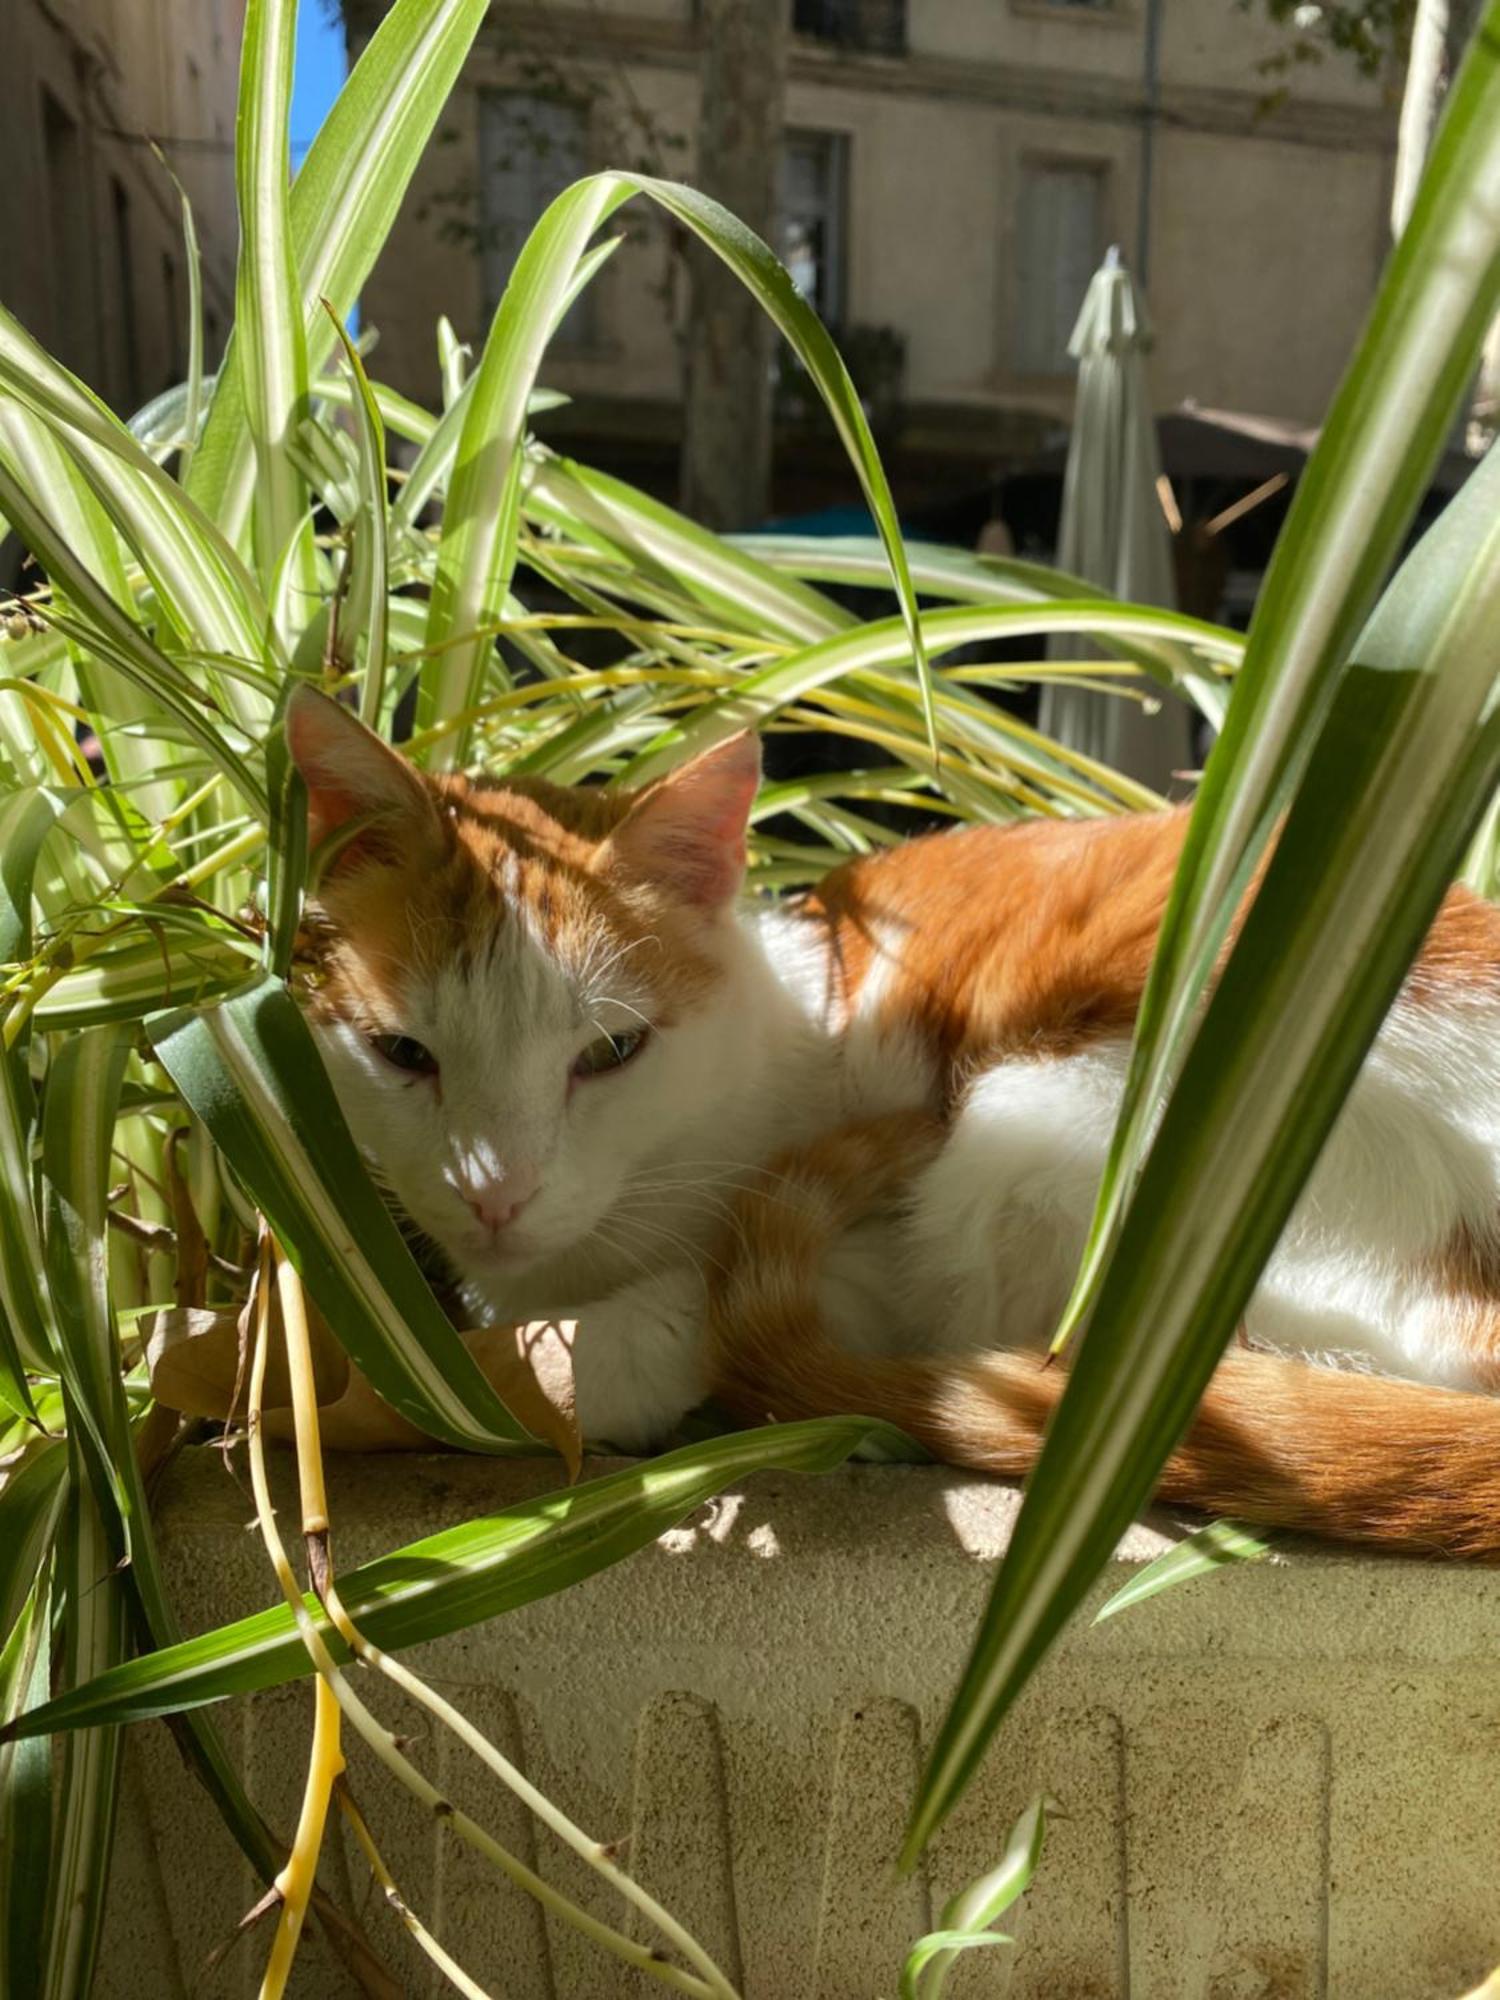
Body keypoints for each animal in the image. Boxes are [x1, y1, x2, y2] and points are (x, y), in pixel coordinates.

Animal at [284, 696, 1500, 1552]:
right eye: (402, 1053)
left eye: (611, 1054)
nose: (493, 1191)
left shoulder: (866, 1262)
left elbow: (589, 1349)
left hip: (1032, 1138)